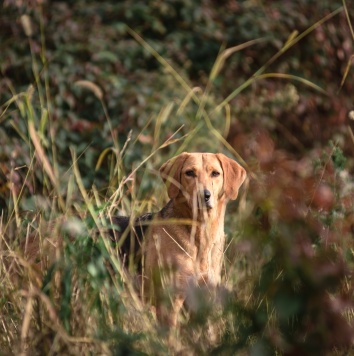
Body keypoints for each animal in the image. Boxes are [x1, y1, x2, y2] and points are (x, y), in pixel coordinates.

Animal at [110, 152, 246, 326]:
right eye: (190, 173)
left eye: (215, 173)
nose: (204, 195)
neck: (200, 236)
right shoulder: (169, 303)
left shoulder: (203, 300)